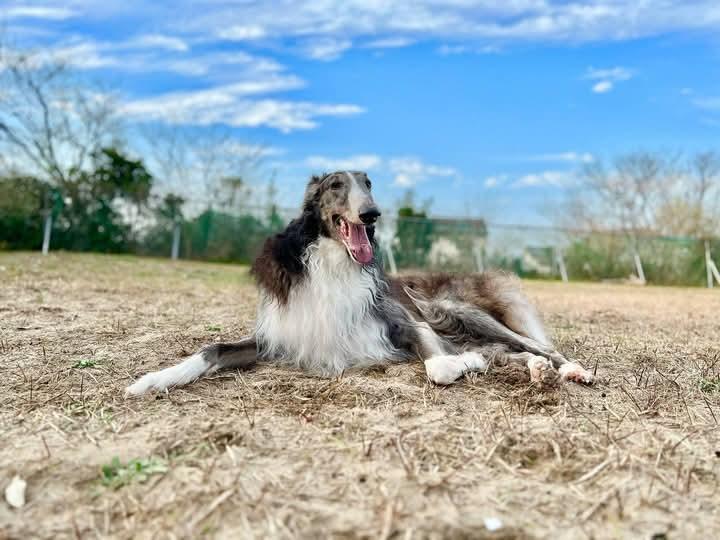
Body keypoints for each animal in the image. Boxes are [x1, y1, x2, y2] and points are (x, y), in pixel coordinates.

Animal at [126, 171, 592, 394]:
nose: (372, 214)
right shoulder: (283, 333)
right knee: (515, 353)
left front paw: (466, 363)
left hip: (453, 311)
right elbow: (211, 349)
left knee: (539, 346)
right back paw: (536, 372)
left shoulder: (409, 323)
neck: (334, 265)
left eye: (368, 183)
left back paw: (571, 370)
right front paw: (153, 380)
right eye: (336, 184)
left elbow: (440, 366)